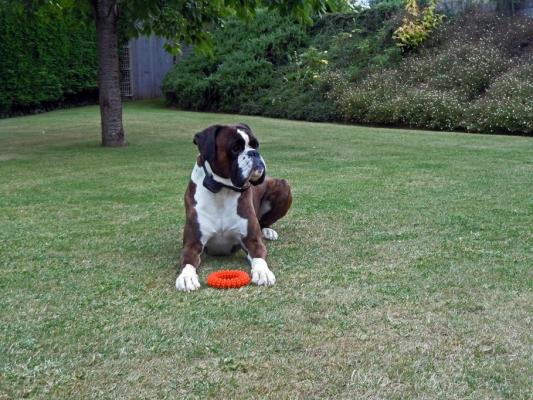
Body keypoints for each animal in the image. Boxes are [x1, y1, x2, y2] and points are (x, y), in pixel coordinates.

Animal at [176, 123, 290, 292]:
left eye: (255, 145)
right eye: (235, 148)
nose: (254, 153)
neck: (222, 190)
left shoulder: (252, 241)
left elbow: (259, 256)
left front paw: (263, 272)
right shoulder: (192, 244)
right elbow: (188, 261)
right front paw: (186, 277)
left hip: (283, 185)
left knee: (264, 222)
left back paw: (268, 231)